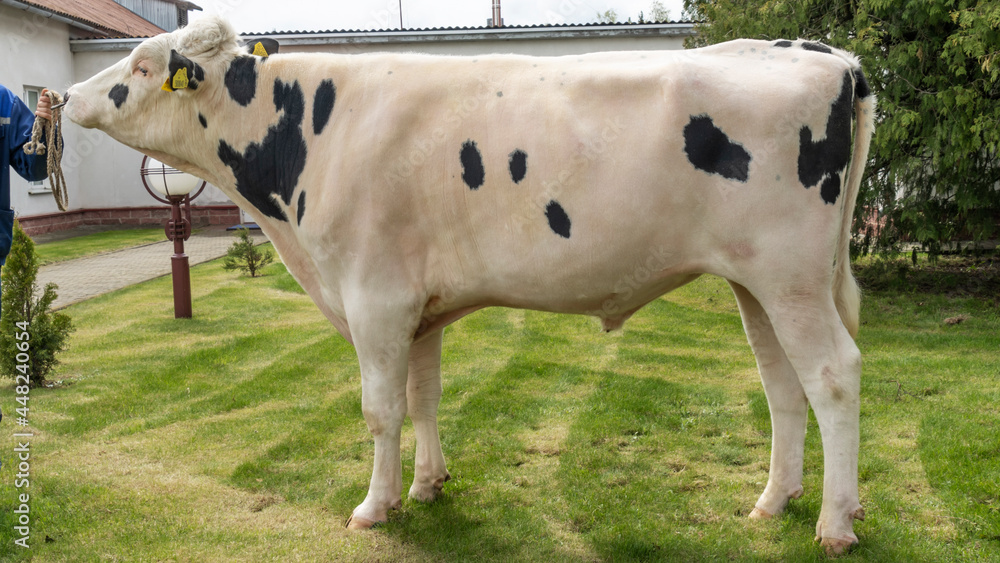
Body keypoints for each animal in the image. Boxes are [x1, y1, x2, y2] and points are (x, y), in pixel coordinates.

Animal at [64, 16, 874, 555]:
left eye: (140, 66)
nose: (66, 96)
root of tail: (821, 53)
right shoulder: (419, 304)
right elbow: (424, 396)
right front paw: (427, 486)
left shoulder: (374, 295)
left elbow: (381, 409)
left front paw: (375, 505)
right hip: (759, 284)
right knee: (782, 384)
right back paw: (774, 502)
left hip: (791, 277)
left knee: (834, 376)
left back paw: (835, 523)